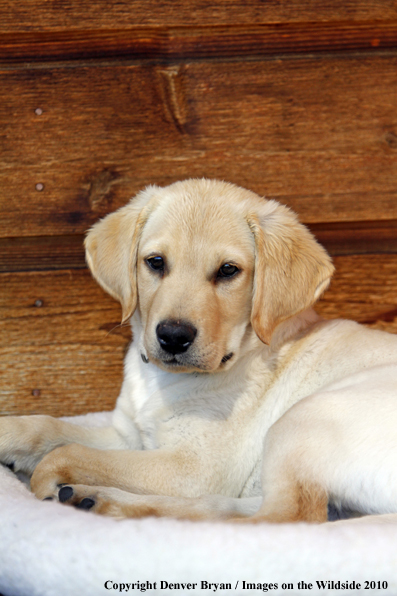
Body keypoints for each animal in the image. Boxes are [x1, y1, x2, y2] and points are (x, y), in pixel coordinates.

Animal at [0, 180, 396, 520]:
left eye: (228, 271)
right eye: (155, 262)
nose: (173, 336)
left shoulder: (192, 467)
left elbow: (68, 452)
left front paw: (44, 479)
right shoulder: (129, 435)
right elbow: (47, 427)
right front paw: (10, 434)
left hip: (302, 418)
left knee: (285, 517)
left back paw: (103, 501)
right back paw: (96, 498)